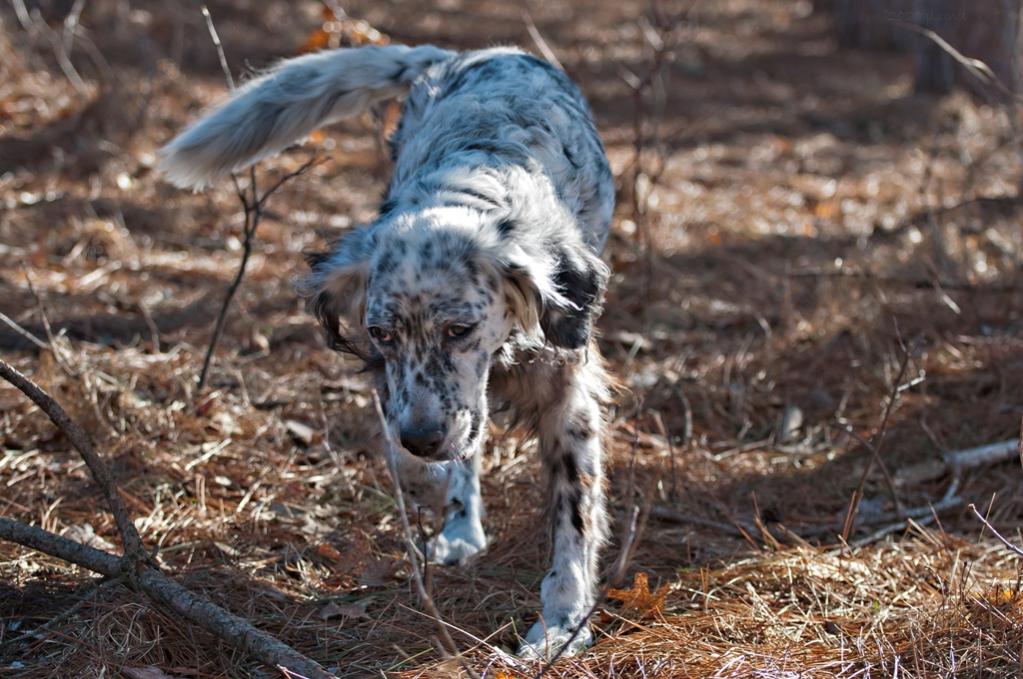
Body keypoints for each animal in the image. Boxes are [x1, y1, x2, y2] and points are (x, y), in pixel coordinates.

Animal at [159, 42, 613, 658]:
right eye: (382, 334)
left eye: (460, 329)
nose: (422, 437)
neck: (472, 180)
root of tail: (469, 54)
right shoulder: (395, 382)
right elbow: (418, 456)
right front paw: (432, 490)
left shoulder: (568, 394)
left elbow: (574, 517)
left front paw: (563, 622)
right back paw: (458, 526)